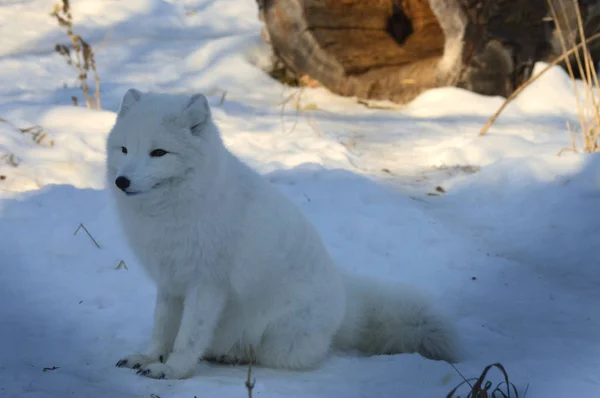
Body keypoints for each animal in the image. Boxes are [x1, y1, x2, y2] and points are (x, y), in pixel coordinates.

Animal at [105, 89, 460, 380]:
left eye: (158, 153)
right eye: (124, 149)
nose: (122, 181)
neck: (172, 211)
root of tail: (346, 302)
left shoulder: (207, 284)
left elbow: (189, 335)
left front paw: (173, 369)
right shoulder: (169, 281)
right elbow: (162, 327)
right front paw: (149, 357)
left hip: (279, 339)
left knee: (277, 356)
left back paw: (231, 356)